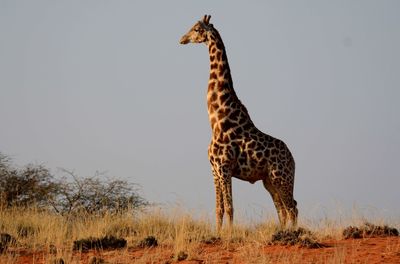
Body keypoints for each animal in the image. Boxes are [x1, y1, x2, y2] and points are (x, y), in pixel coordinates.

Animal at [180, 14, 298, 231]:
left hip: (281, 176)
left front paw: (229, 233)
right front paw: (218, 233)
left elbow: (229, 207)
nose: (182, 39)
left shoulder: (225, 167)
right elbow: (219, 208)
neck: (216, 120)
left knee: (292, 207)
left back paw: (293, 233)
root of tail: (293, 159)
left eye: (196, 29)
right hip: (269, 181)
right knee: (283, 209)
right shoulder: (214, 170)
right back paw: (283, 231)